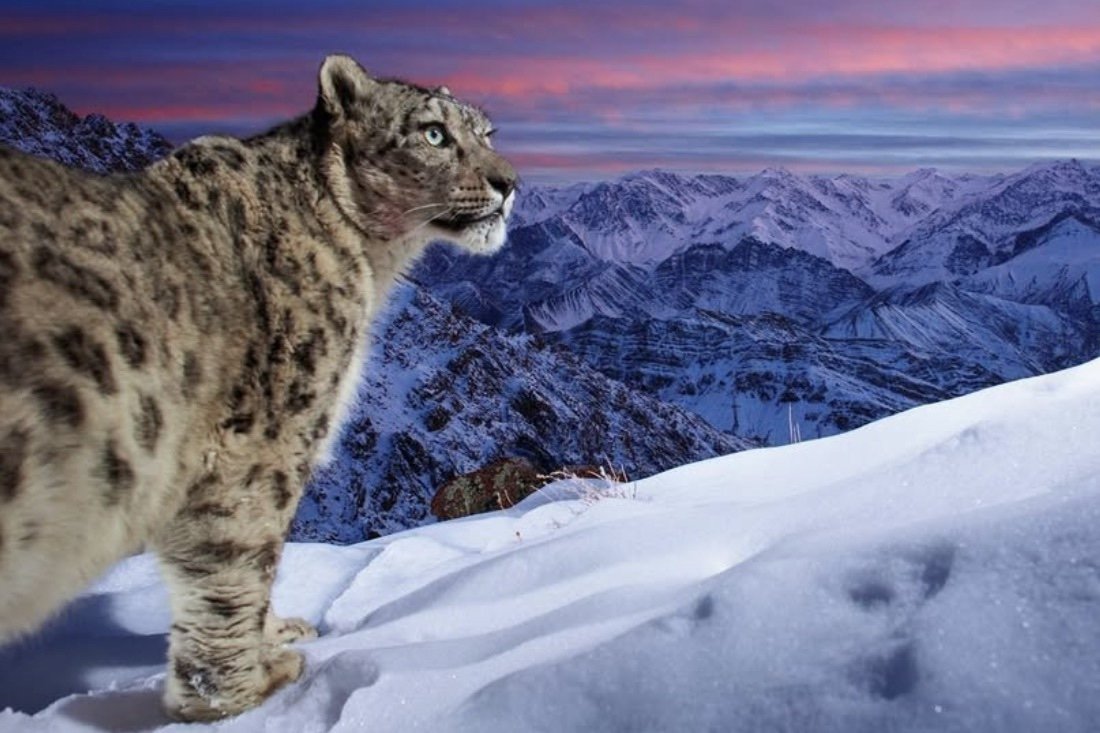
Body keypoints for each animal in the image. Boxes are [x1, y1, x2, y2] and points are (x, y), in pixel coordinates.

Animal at [0, 54, 516, 721]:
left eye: (487, 133)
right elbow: (237, 562)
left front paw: (275, 636)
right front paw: (241, 692)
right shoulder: (262, 442)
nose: (509, 183)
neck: (371, 264)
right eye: (432, 133)